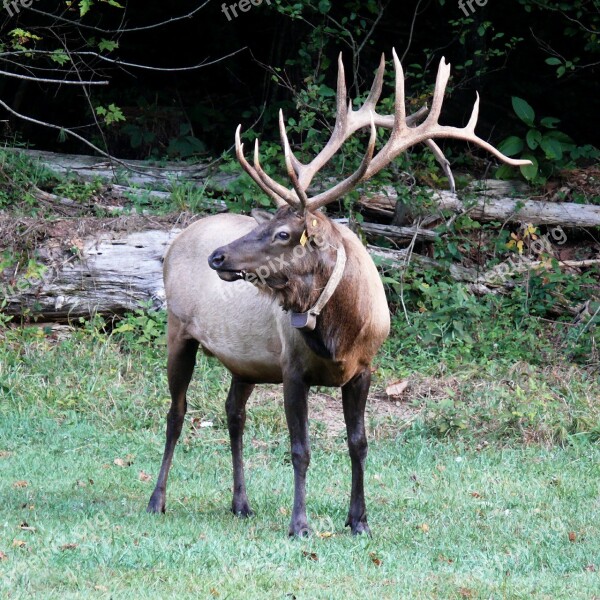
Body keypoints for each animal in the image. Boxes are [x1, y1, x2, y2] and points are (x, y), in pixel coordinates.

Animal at [149, 48, 528, 536]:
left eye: (284, 234)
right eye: (267, 224)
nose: (218, 257)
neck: (341, 334)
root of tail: (178, 237)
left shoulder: (365, 368)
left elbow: (358, 443)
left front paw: (359, 520)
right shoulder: (292, 369)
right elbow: (301, 449)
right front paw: (300, 524)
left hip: (245, 361)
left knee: (234, 413)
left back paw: (241, 503)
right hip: (178, 329)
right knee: (176, 412)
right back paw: (157, 499)